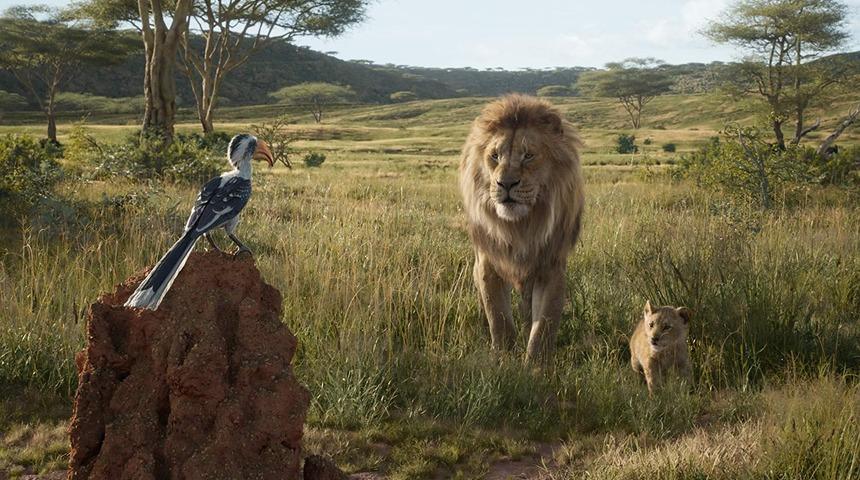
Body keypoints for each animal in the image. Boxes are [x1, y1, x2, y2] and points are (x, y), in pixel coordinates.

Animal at [458, 94, 584, 363]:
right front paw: (502, 360)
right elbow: (498, 318)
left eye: (528, 156)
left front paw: (536, 366)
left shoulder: (552, 268)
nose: (505, 183)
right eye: (495, 156)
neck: (521, 226)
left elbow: (543, 326)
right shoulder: (487, 263)